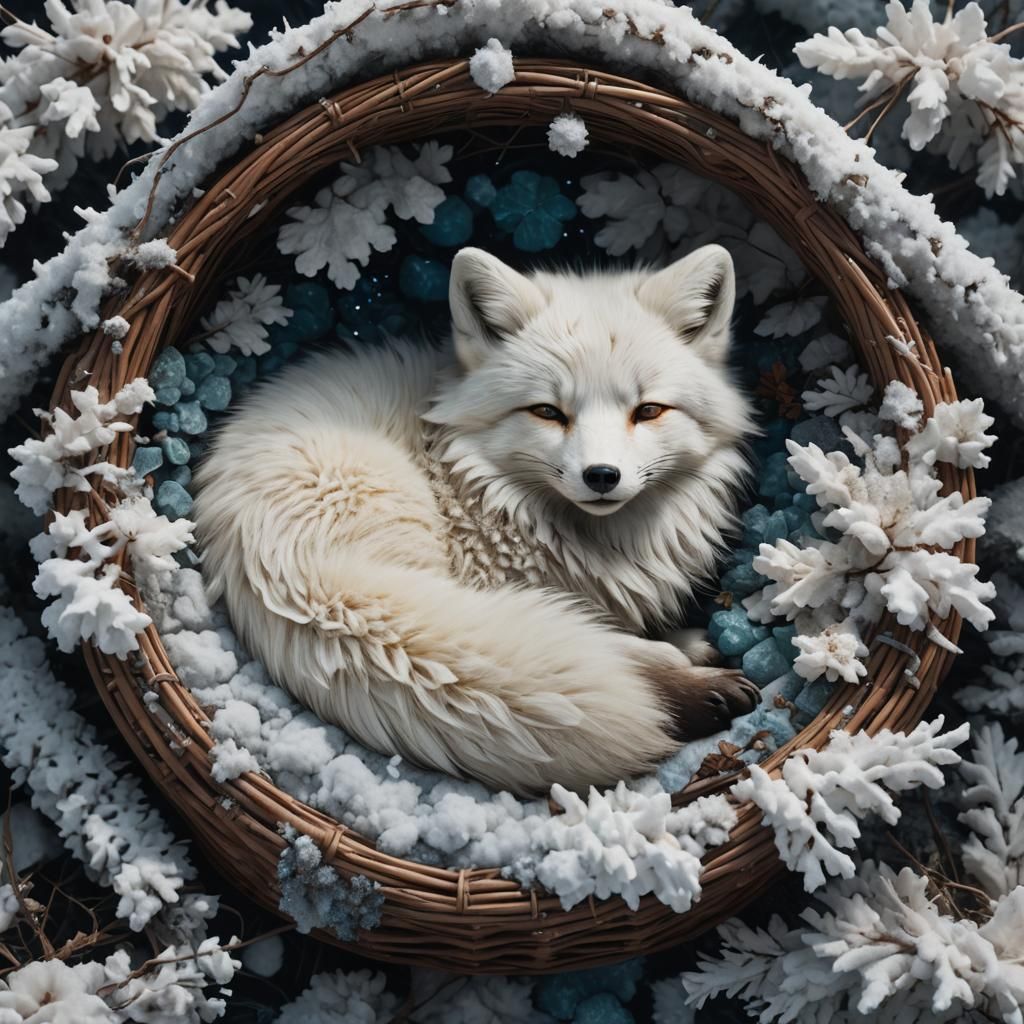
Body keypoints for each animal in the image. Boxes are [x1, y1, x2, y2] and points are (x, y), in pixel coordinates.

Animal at [193, 245, 761, 796]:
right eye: (548, 412)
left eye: (648, 411)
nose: (602, 476)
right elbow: (602, 638)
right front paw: (684, 659)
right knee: (600, 651)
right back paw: (697, 687)